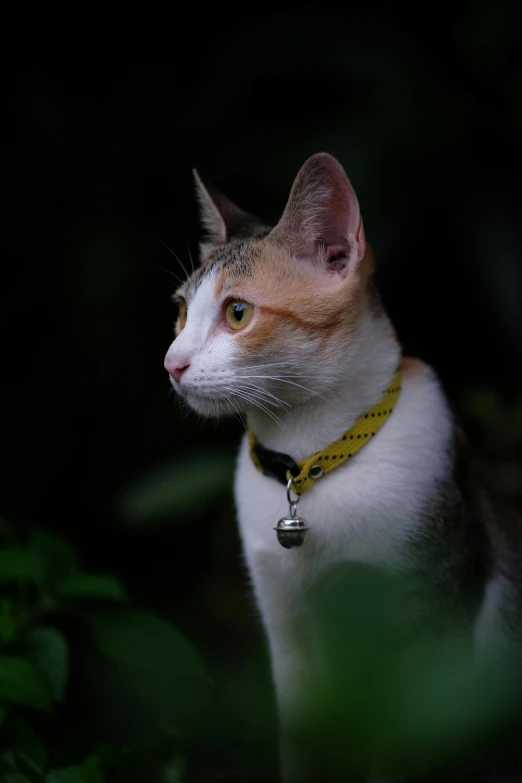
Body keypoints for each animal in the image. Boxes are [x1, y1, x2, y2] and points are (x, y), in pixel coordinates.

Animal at [164, 153, 520, 783]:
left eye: (238, 312)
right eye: (181, 312)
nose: (171, 363)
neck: (310, 464)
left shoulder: (433, 624)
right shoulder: (287, 630)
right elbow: (305, 742)